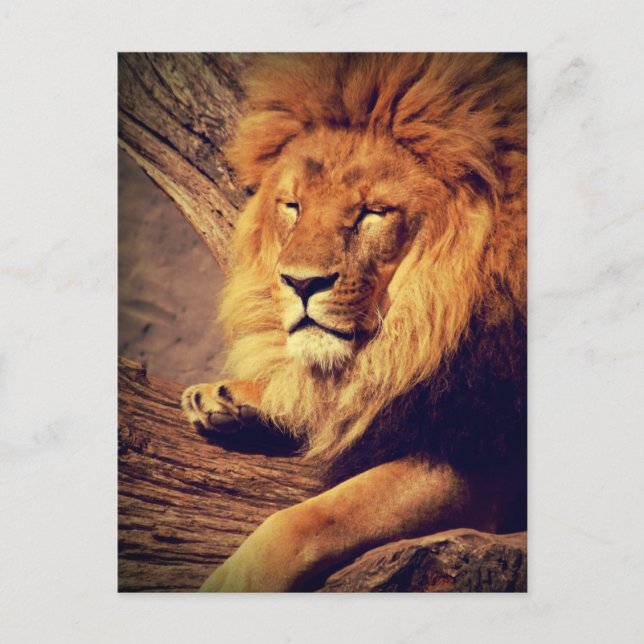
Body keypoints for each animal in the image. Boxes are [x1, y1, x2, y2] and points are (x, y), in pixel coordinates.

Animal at [181, 53, 527, 592]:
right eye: (293, 205)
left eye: (372, 212)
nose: (301, 283)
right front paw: (232, 396)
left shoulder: (480, 458)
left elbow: (310, 518)